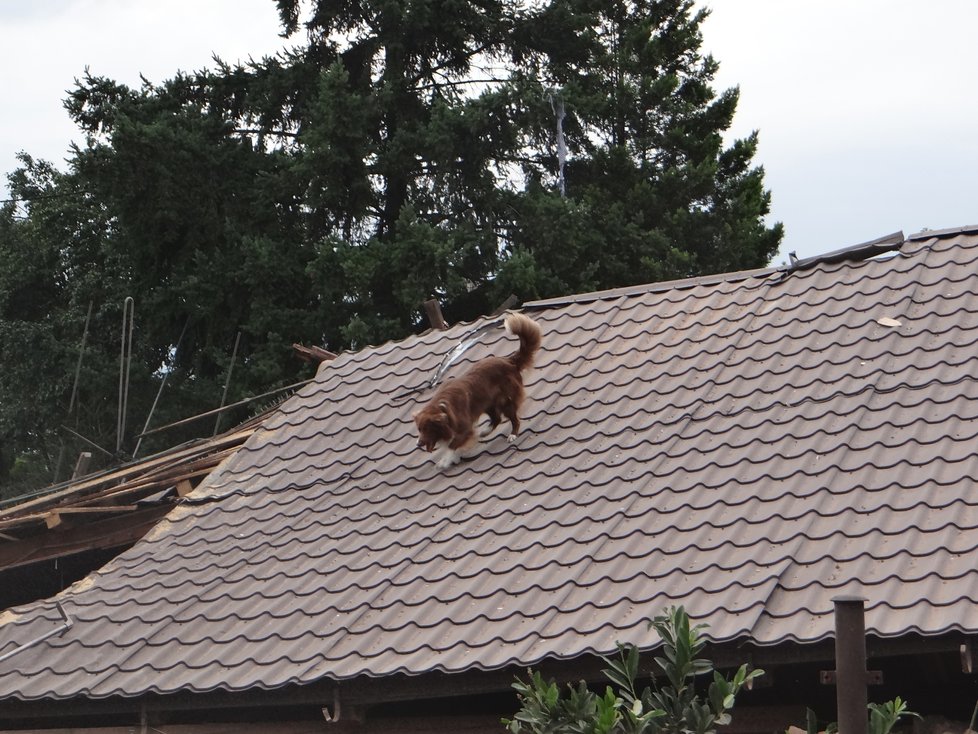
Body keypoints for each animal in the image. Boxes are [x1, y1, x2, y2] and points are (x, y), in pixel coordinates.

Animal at [414, 314, 540, 468]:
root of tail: (509, 360)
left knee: (513, 419)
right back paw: (485, 432)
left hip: (505, 399)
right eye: (419, 429)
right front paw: (453, 458)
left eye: (426, 429)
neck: (442, 409)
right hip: (487, 402)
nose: (418, 444)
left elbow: (452, 445)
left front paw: (445, 461)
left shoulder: (465, 428)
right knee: (497, 418)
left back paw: (512, 435)